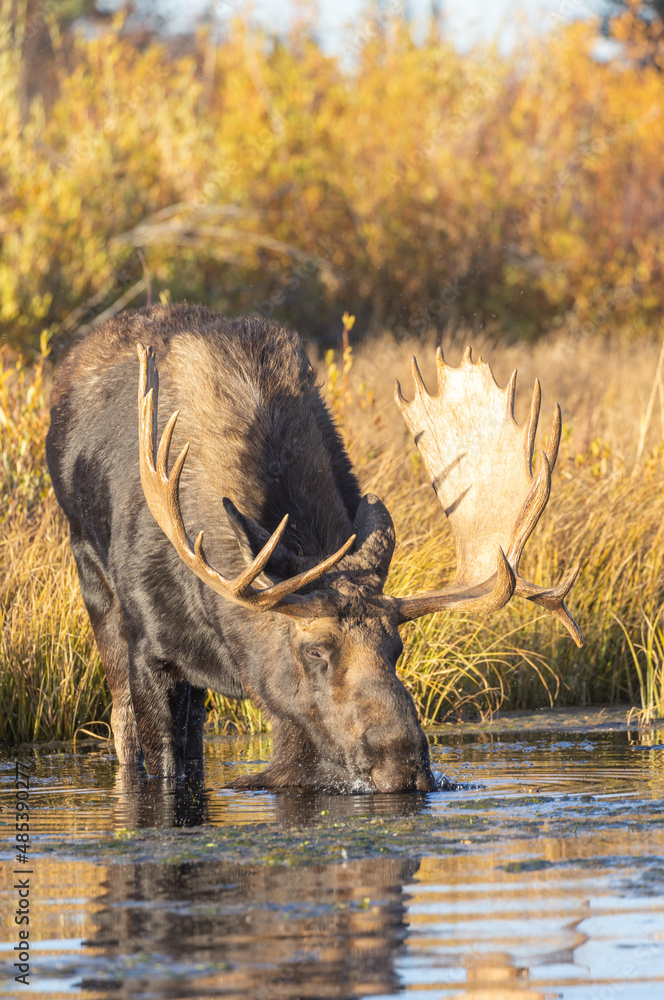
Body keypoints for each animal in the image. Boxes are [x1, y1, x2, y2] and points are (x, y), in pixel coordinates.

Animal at [46, 304, 582, 792]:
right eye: (316, 650)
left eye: (397, 647)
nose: (404, 763)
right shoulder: (150, 654)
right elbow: (157, 764)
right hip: (91, 577)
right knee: (122, 726)